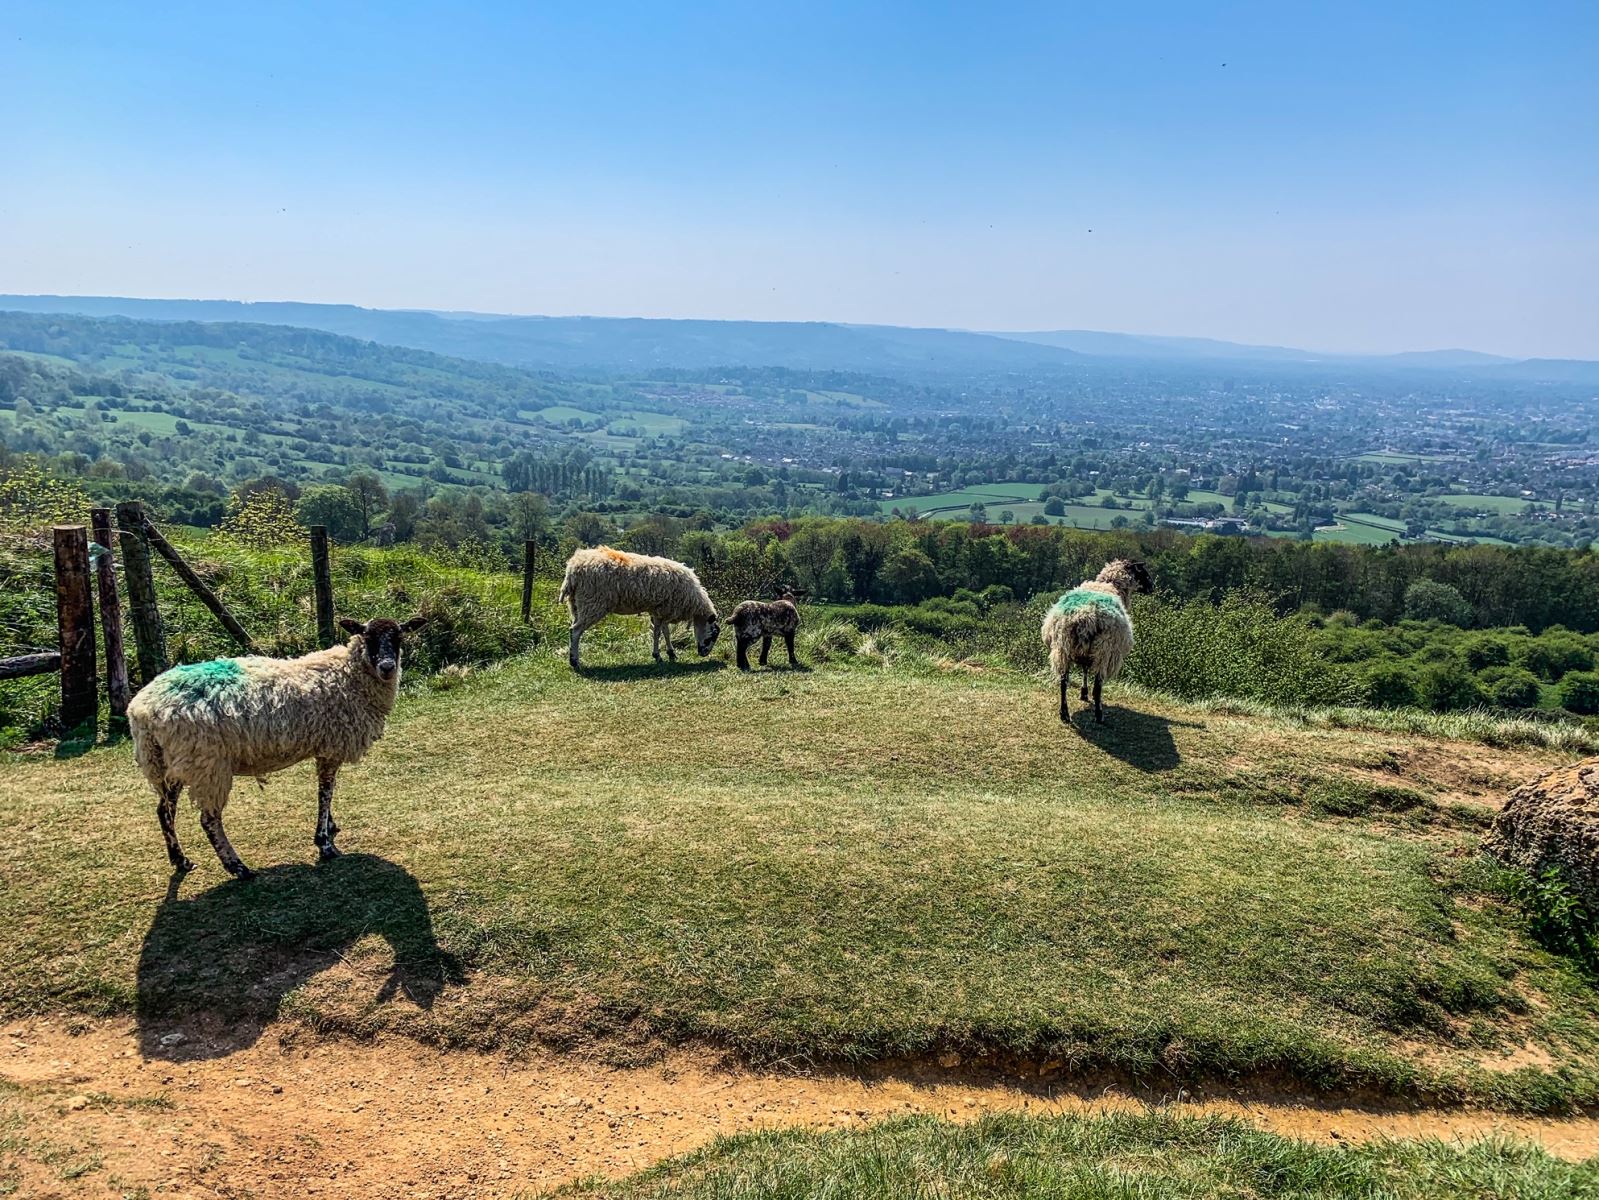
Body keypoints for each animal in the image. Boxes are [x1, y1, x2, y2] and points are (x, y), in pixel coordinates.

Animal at [126, 614, 425, 876]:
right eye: (367, 636)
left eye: (399, 637)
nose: (387, 666)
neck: (348, 674)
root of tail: (141, 710)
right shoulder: (330, 746)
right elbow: (325, 792)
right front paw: (324, 842)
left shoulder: (325, 747)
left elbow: (328, 791)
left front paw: (330, 827)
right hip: (206, 763)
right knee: (208, 819)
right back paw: (237, 867)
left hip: (172, 763)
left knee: (165, 810)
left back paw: (181, 860)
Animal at [556, 550, 719, 672]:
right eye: (712, 636)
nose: (704, 654)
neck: (694, 601)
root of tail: (573, 569)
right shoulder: (662, 610)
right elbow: (658, 633)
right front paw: (658, 656)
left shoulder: (660, 609)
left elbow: (665, 632)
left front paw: (670, 653)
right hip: (592, 603)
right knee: (575, 631)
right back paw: (575, 662)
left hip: (576, 605)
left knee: (573, 629)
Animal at [1042, 563, 1157, 723]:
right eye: (1143, 572)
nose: (1153, 587)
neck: (1109, 585)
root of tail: (1083, 617)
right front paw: (1087, 695)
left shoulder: (1084, 653)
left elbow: (1084, 669)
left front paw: (1083, 693)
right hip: (1104, 649)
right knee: (1098, 684)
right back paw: (1099, 714)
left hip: (1062, 648)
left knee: (1063, 681)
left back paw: (1064, 713)